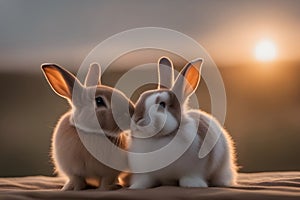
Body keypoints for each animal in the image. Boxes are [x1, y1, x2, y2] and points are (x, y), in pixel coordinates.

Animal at [41, 63, 134, 191]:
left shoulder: (110, 172)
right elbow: (77, 180)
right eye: (99, 101)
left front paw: (112, 187)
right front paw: (70, 188)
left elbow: (106, 182)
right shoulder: (72, 171)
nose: (132, 111)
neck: (91, 132)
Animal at [127, 56, 238, 189]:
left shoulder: (194, 169)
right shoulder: (146, 174)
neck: (160, 138)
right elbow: (145, 181)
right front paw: (135, 186)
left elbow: (191, 177)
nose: (138, 120)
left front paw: (193, 184)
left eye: (162, 104)